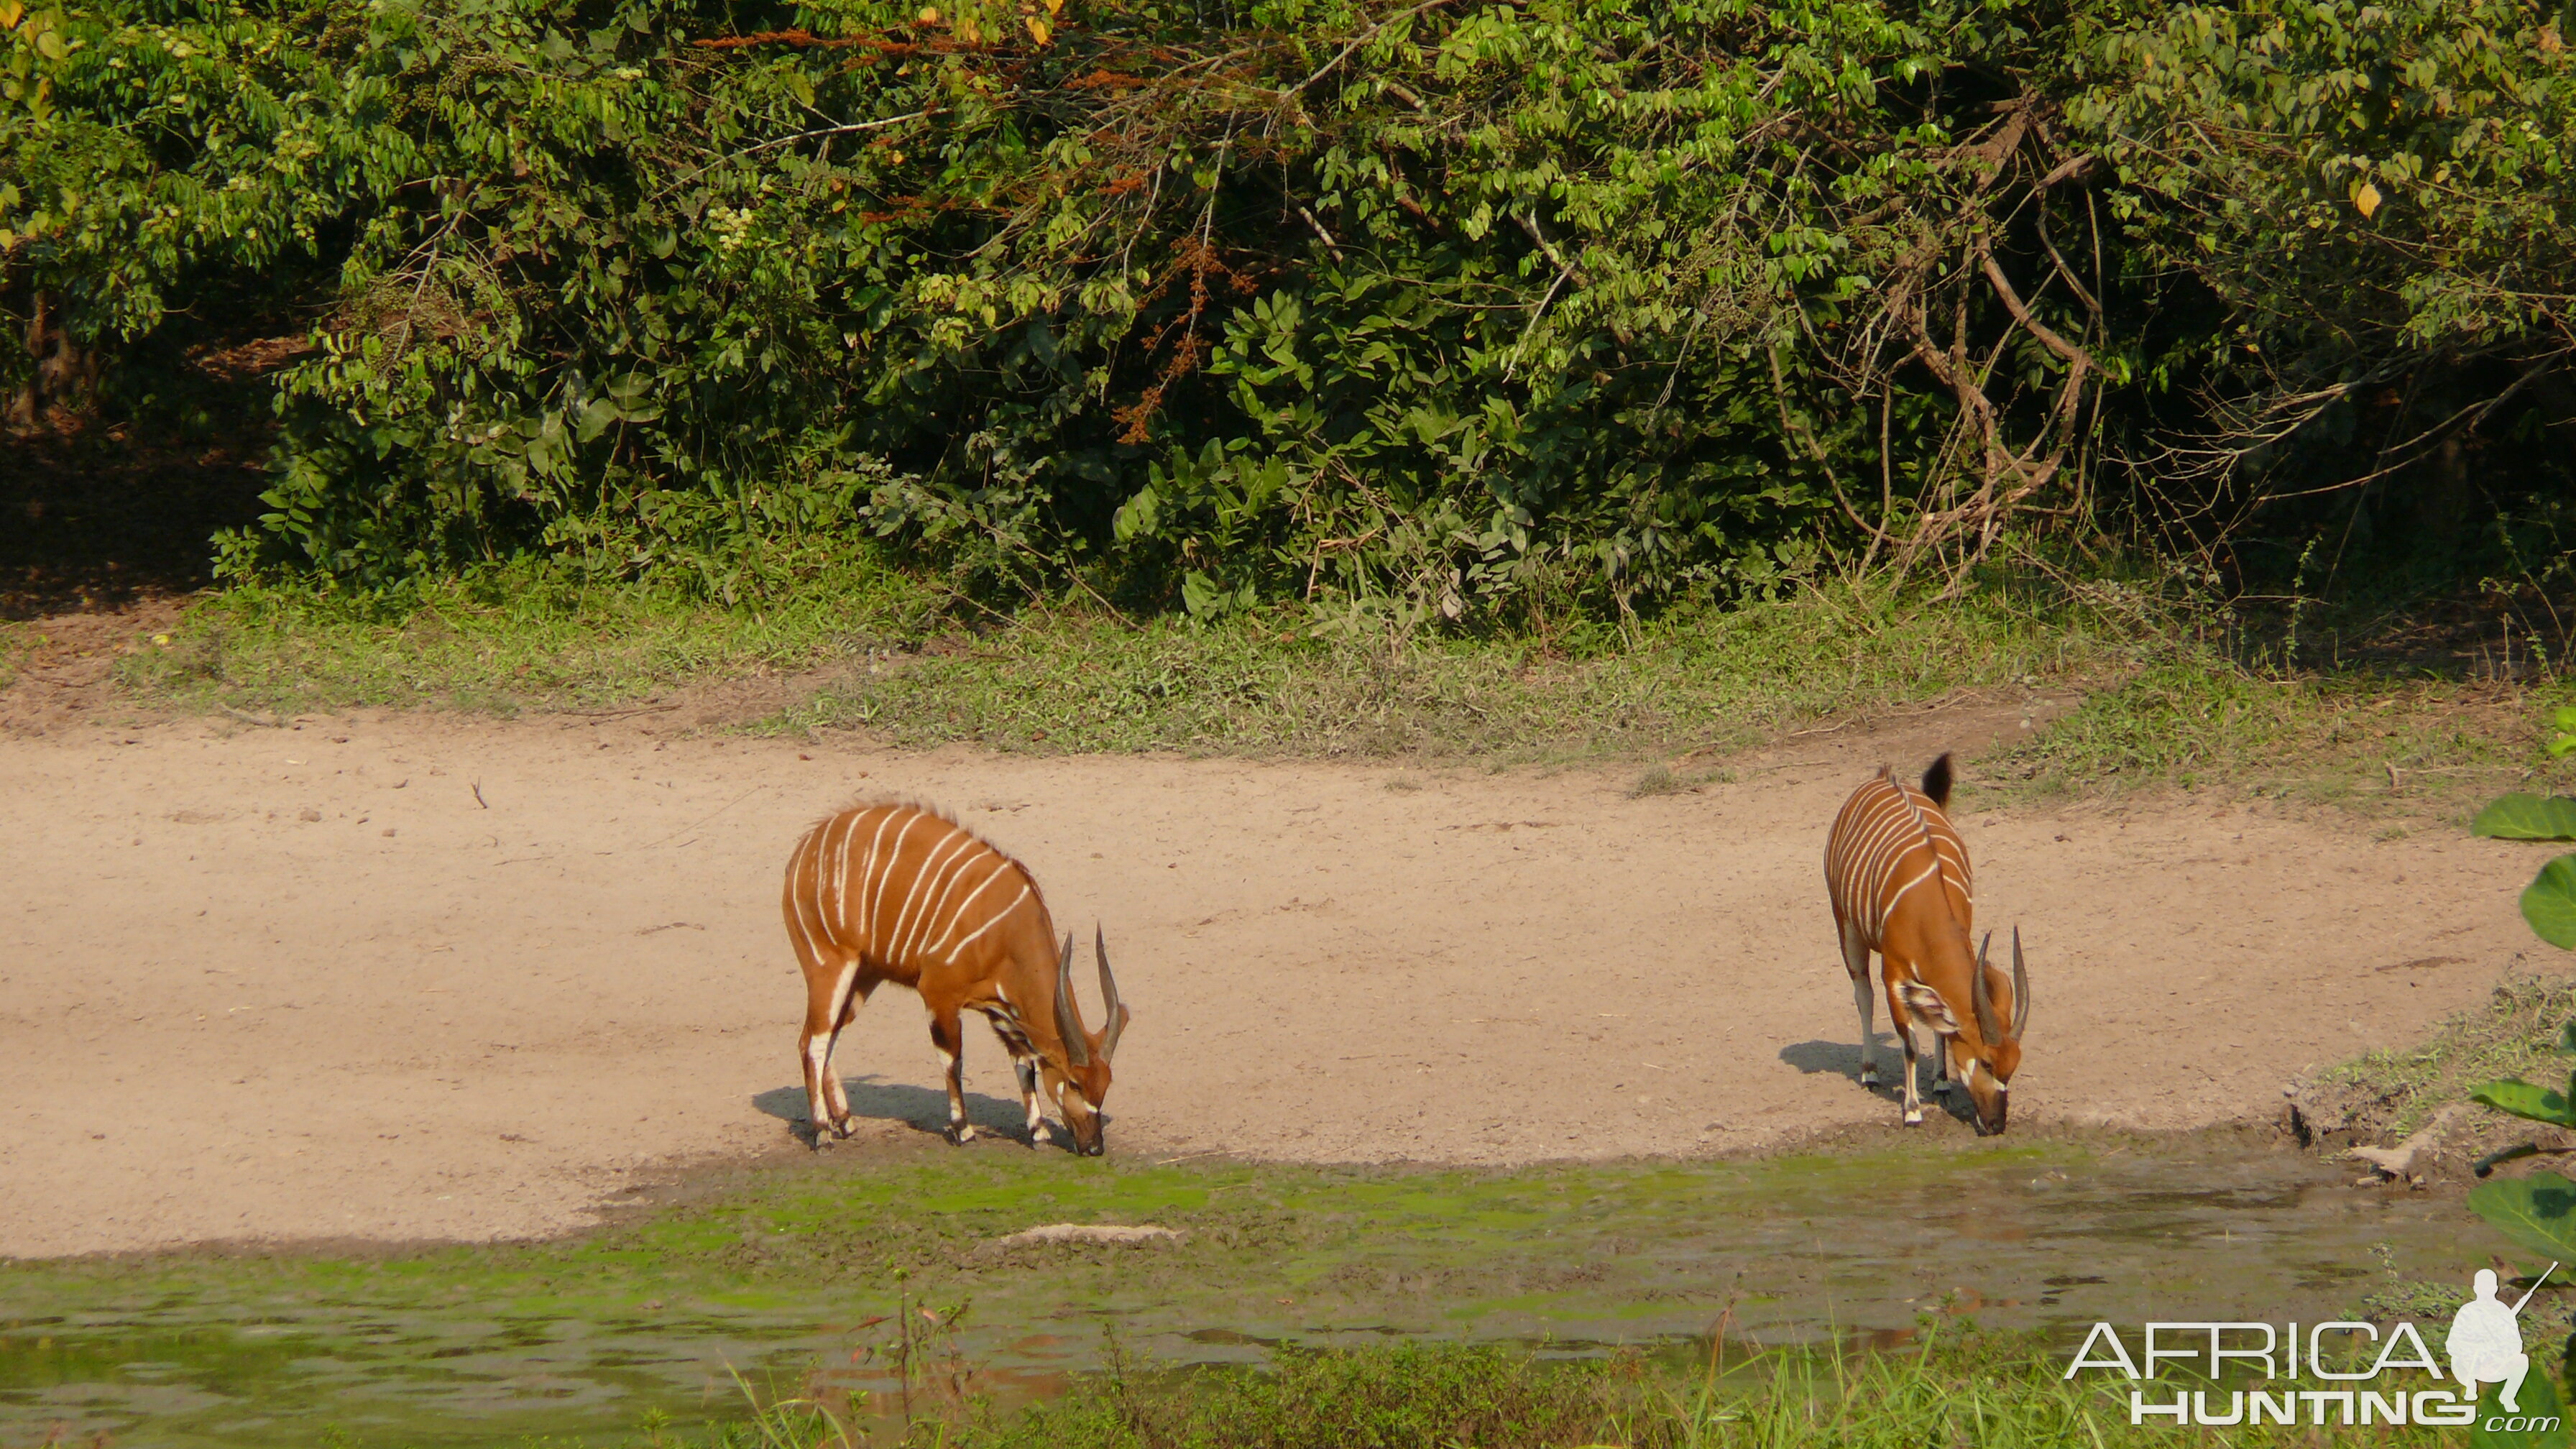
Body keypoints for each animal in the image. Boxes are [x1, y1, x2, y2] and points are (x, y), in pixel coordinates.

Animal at [778, 799, 1133, 1149]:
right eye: (1074, 1083)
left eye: (1106, 1083)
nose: (1094, 1146)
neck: (1006, 931)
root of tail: (804, 850)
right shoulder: (939, 995)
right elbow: (953, 1059)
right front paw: (963, 1129)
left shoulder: (1001, 1009)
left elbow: (1024, 1063)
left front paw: (1038, 1132)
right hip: (828, 966)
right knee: (813, 1042)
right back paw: (822, 1132)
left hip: (863, 978)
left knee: (827, 1038)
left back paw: (845, 1122)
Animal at [1834, 748, 2030, 1134]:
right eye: (1986, 1062)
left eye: (2012, 1066)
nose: (1996, 1124)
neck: (1927, 903)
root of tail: (1882, 778)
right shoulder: (1893, 975)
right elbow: (1909, 1041)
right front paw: (1911, 1110)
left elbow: (1940, 1027)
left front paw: (1940, 1082)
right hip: (1846, 928)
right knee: (1863, 995)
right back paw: (1870, 1072)